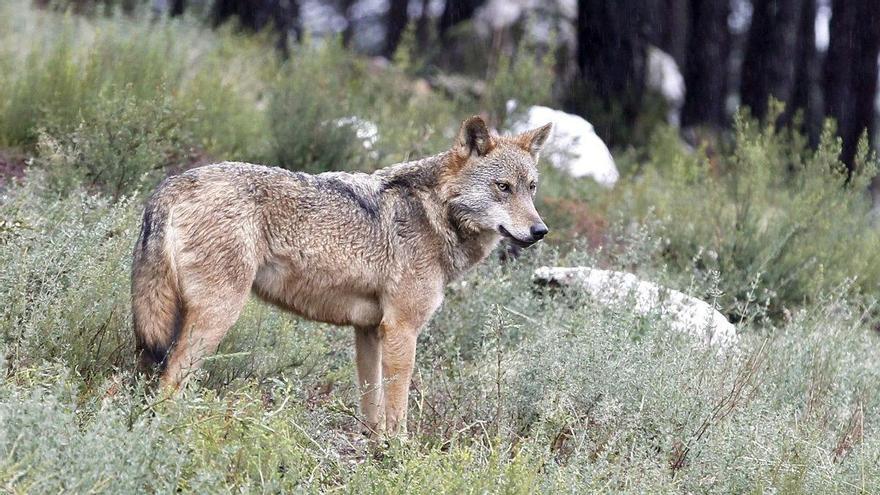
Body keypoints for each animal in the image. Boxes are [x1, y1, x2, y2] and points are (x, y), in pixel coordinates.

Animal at [131, 115, 552, 434]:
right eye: (503, 187)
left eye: (531, 188)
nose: (540, 231)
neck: (434, 214)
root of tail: (171, 184)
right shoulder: (402, 330)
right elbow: (397, 409)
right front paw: (400, 456)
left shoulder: (369, 331)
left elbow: (373, 406)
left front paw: (374, 448)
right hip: (217, 316)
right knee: (170, 382)